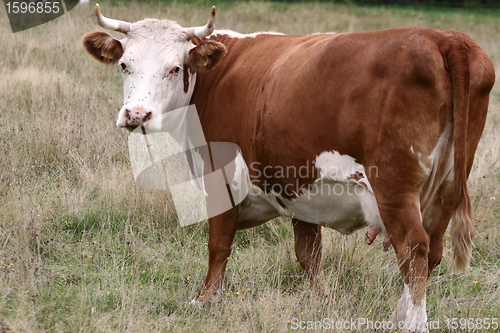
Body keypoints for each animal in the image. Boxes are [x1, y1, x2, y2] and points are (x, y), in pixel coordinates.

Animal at [84, 3, 494, 330]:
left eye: (174, 68)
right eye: (124, 65)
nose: (136, 115)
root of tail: (444, 37)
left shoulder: (221, 179)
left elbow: (219, 243)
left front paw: (205, 300)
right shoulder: (298, 187)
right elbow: (308, 252)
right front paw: (324, 303)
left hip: (394, 187)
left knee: (414, 249)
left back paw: (411, 324)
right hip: (448, 184)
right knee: (433, 251)